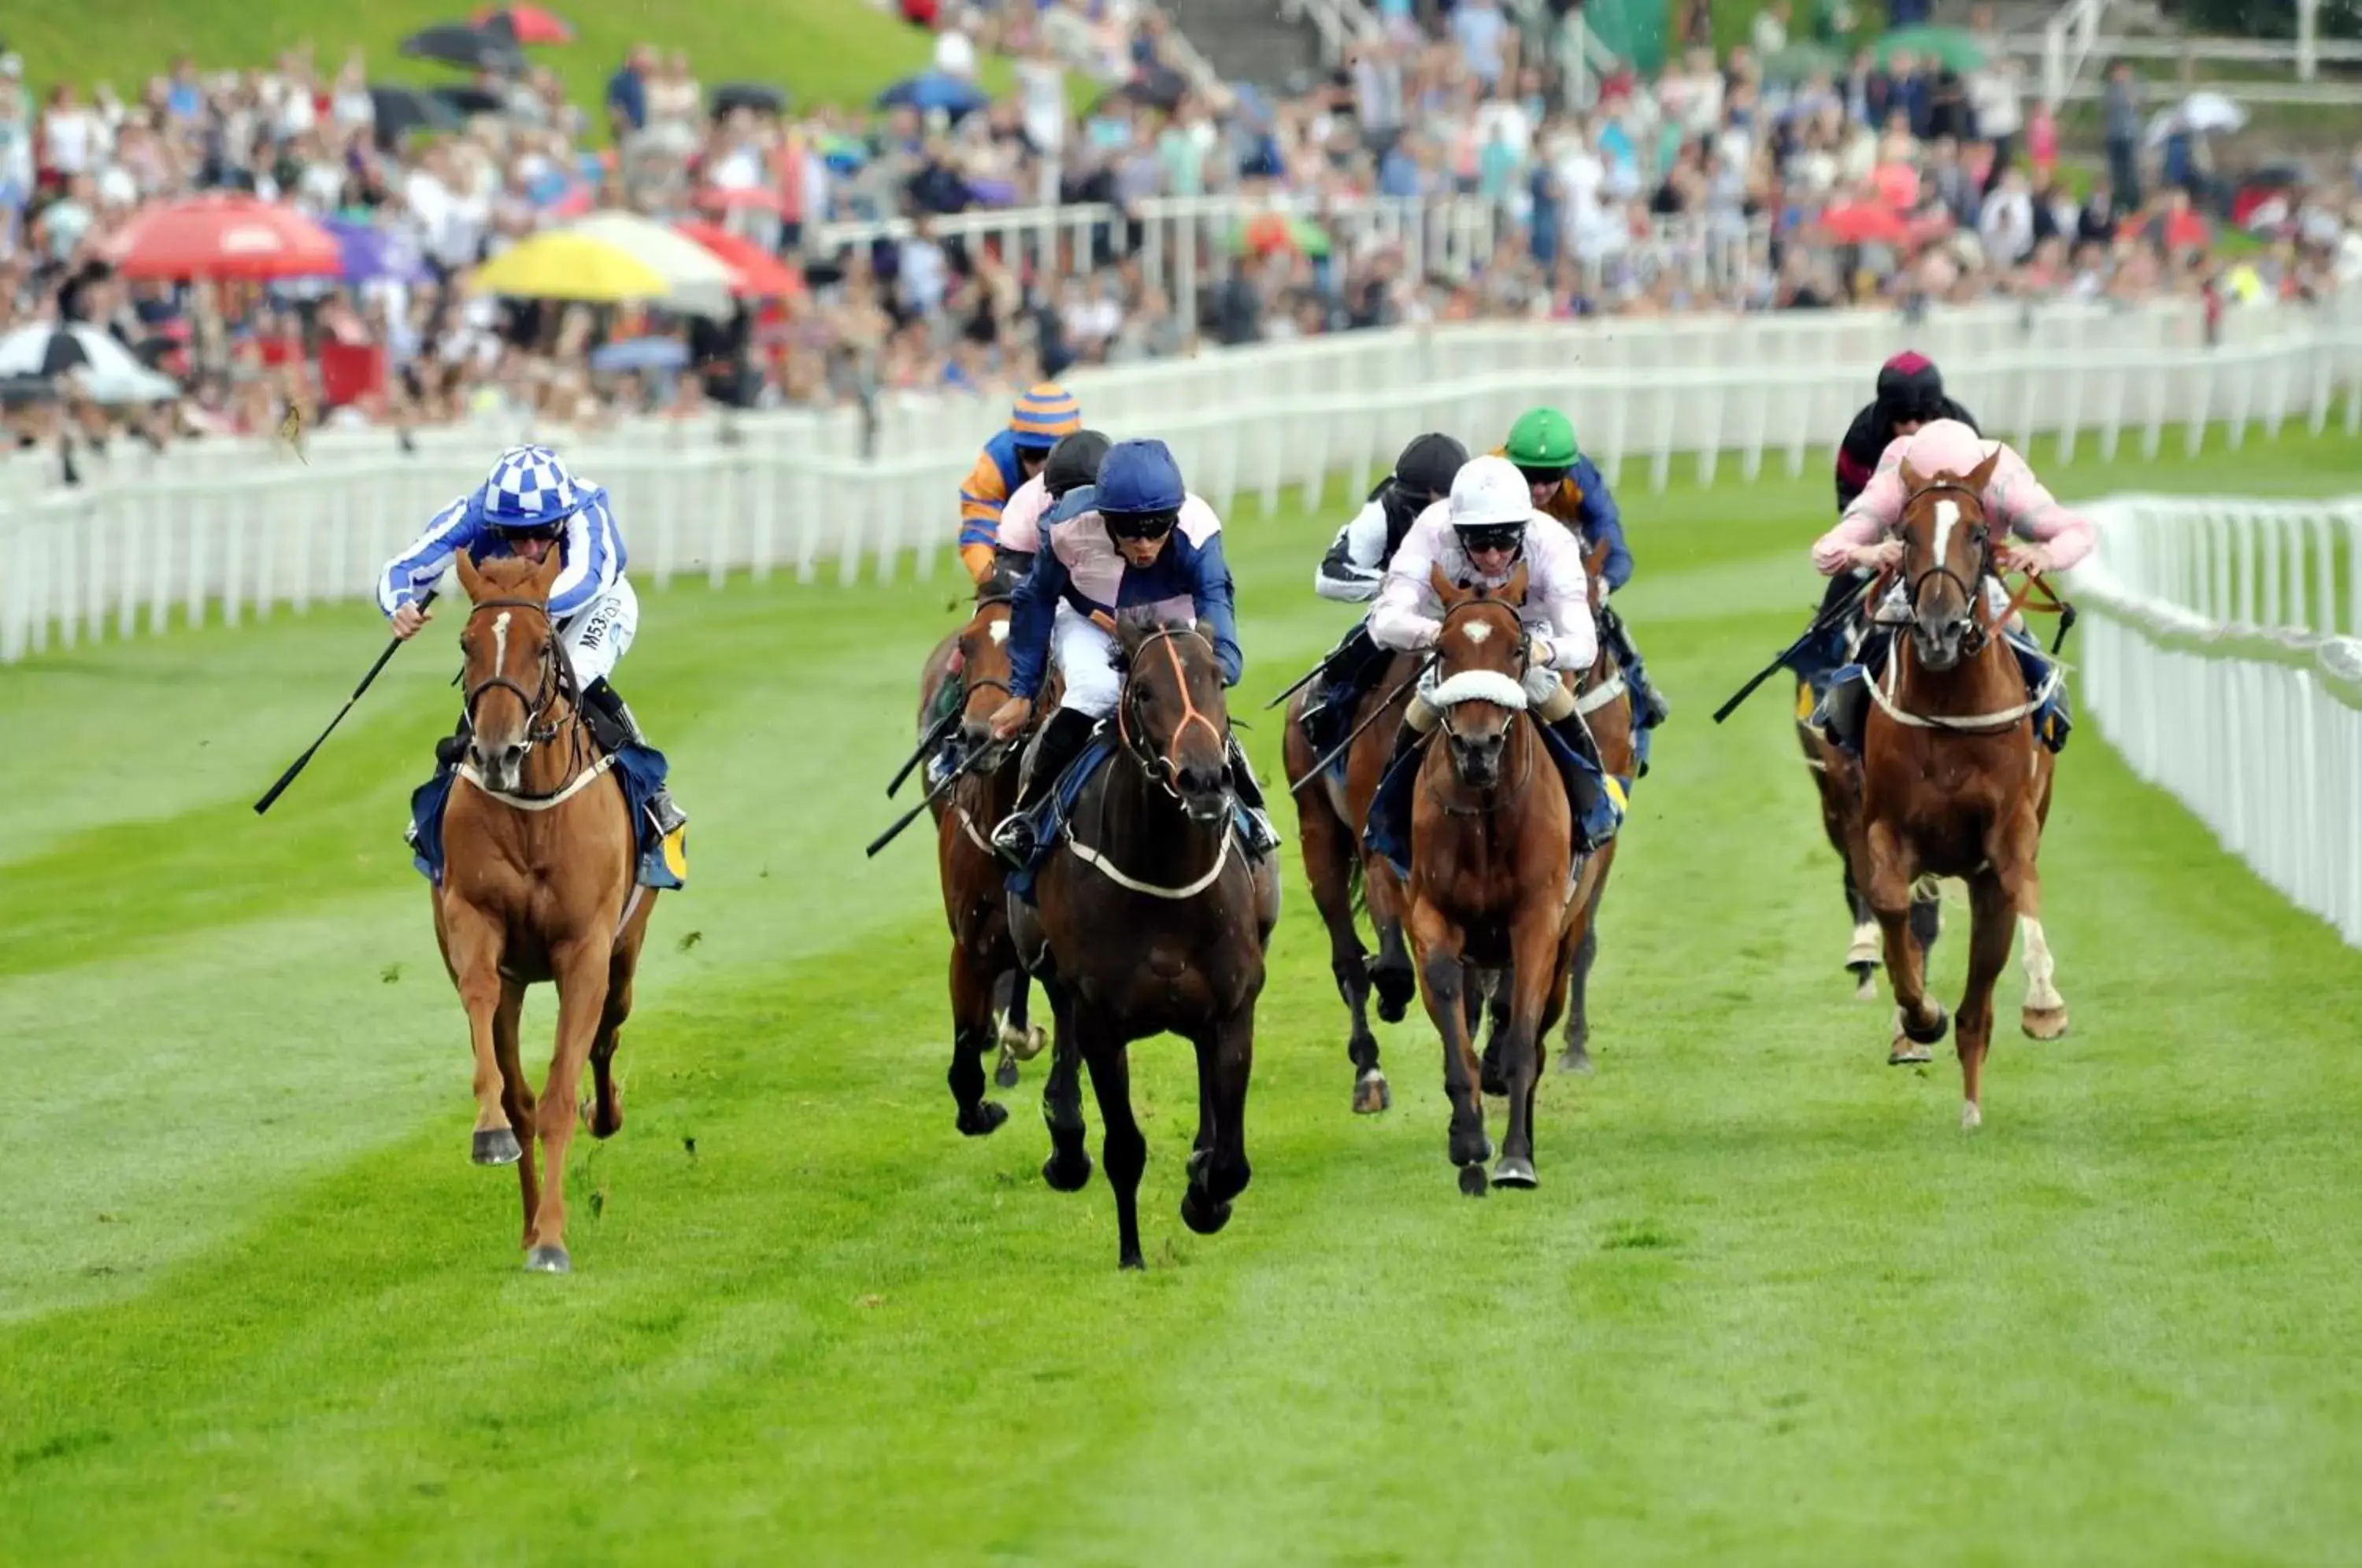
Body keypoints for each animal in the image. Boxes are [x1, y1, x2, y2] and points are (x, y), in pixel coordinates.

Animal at [432, 550, 657, 1275]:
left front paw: (555, 1241)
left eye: (540, 648)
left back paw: (604, 1116)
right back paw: (528, 1216)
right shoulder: (475, 925)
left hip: (624, 951)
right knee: (521, 1091)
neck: (532, 809)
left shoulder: (584, 951)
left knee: (608, 1032)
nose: (496, 752)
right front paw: (491, 1138)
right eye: (466, 644)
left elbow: (562, 1092)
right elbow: (509, 1079)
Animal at [916, 569, 1058, 1133]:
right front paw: (980, 1103)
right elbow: (966, 1043)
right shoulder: (971, 941)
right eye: (967, 645)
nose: (981, 735)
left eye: (1035, 646)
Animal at [1006, 619, 1285, 1266]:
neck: (1166, 878)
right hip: (1044, 960)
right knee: (1061, 1031)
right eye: (1144, 692)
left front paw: (1205, 1197)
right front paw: (1131, 1254)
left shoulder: (1234, 1007)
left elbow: (1231, 1162)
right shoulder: (1102, 1020)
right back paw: (1066, 1147)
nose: (1204, 779)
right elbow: (1124, 1148)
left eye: (1218, 679)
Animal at [1408, 569, 1578, 1195]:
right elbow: (1453, 1027)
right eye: (1442, 651)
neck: (1484, 815)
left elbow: (1523, 1040)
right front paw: (1469, 1139)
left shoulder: (1538, 923)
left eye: (1518, 650)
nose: (1478, 748)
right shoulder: (1430, 915)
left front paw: (1516, 1157)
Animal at [1861, 451, 2069, 1129]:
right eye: (1905, 534)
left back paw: (1973, 1111)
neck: (1951, 702)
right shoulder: (1886, 828)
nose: (1939, 631)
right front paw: (1919, 1015)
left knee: (1979, 1010)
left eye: (1979, 535)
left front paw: (2045, 1002)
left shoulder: (2008, 832)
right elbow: (1892, 906)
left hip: (1987, 890)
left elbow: (2024, 882)